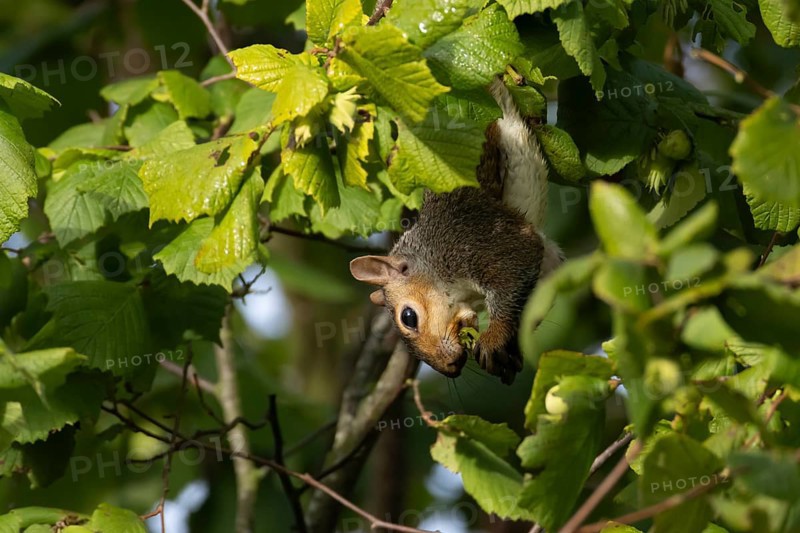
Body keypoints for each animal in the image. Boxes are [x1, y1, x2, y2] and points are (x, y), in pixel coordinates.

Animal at [350, 78, 562, 384]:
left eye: (408, 317)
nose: (448, 368)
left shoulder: (472, 241)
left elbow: (516, 264)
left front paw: (495, 339)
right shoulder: (546, 262)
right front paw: (510, 352)